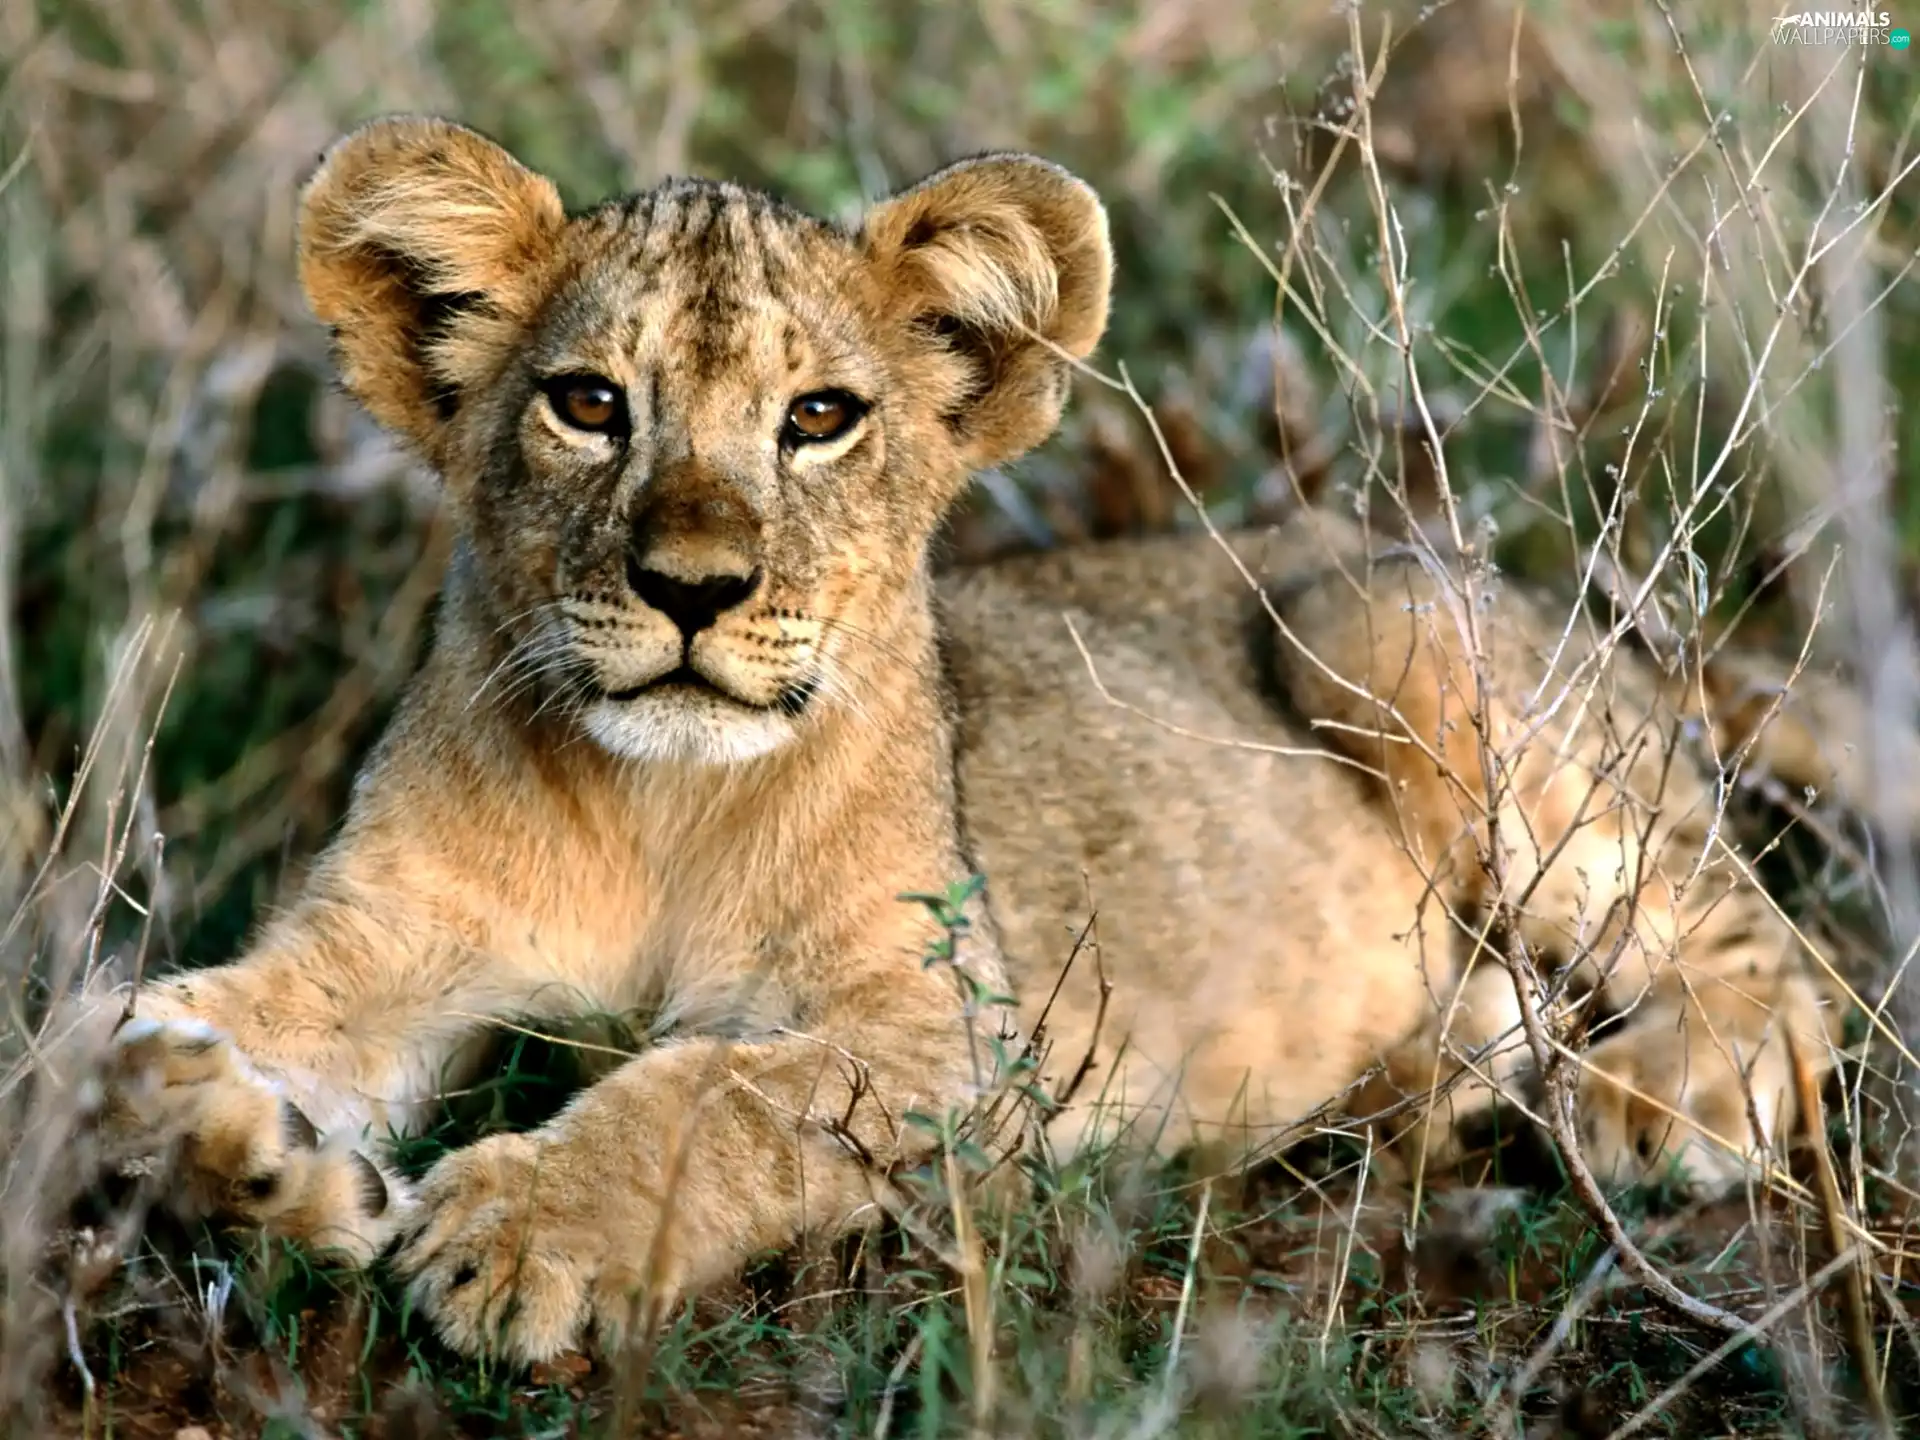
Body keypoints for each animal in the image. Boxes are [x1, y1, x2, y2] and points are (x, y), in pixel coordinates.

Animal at [62, 115, 1842, 1365]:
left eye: (818, 419)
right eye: (588, 405)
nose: (692, 588)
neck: (658, 810)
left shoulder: (966, 1034)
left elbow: (714, 1090)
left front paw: (516, 1228)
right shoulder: (382, 934)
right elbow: (99, 1036)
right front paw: (256, 1152)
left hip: (1386, 631)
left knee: (1770, 947)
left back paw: (1660, 1098)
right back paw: (1427, 1089)